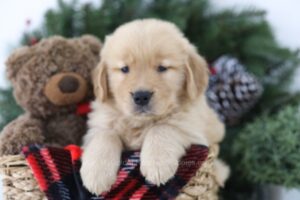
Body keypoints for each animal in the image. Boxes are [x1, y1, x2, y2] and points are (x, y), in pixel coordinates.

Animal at [79, 18, 227, 194]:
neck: (140, 122)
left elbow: (162, 128)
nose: (141, 96)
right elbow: (105, 135)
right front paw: (96, 173)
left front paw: (157, 164)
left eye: (162, 68)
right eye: (124, 69)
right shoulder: (98, 126)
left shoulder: (192, 129)